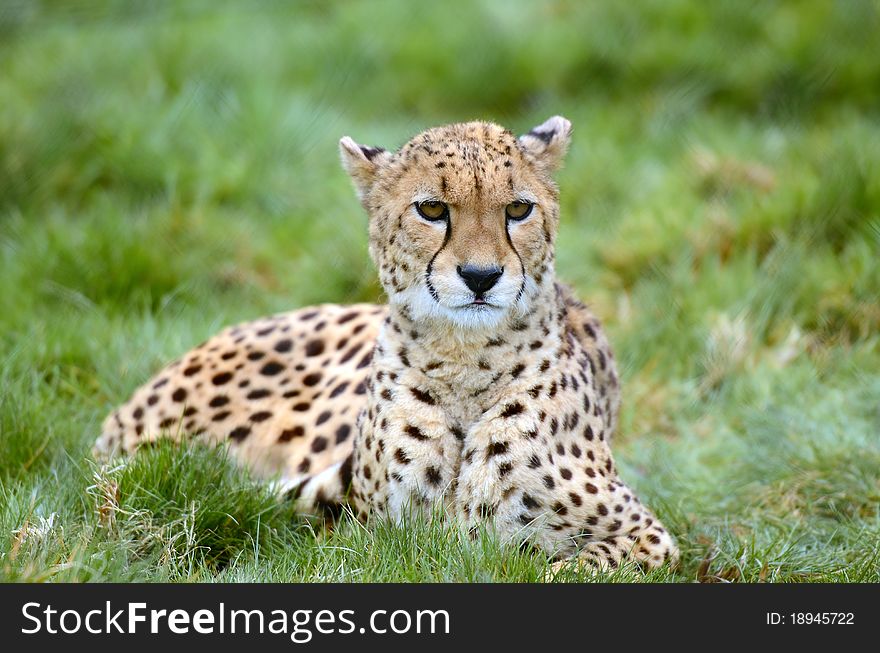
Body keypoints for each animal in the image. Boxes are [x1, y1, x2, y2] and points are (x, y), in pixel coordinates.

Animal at [94, 116, 680, 572]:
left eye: (518, 210)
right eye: (432, 210)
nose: (481, 276)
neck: (466, 361)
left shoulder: (647, 538)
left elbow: (568, 566)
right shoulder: (375, 542)